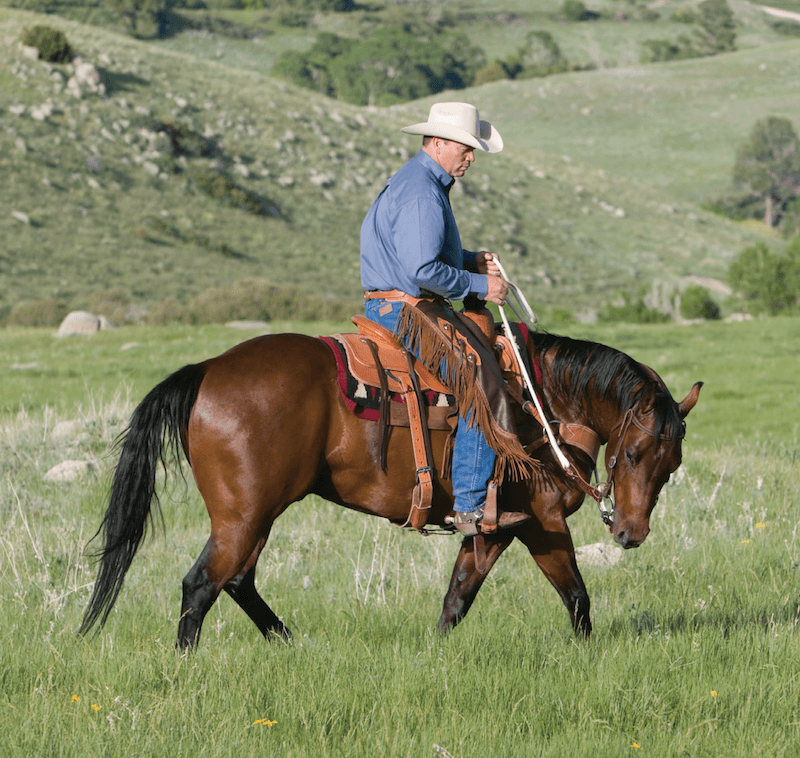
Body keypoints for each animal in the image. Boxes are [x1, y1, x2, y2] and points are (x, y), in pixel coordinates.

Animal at [79, 328, 701, 649]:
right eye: (636, 453)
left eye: (671, 465)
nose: (630, 534)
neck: (542, 403)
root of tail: (209, 369)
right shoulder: (544, 524)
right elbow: (577, 595)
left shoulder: (499, 528)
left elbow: (457, 598)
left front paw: (437, 654)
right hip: (244, 515)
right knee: (202, 585)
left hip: (256, 514)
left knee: (236, 580)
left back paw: (289, 643)